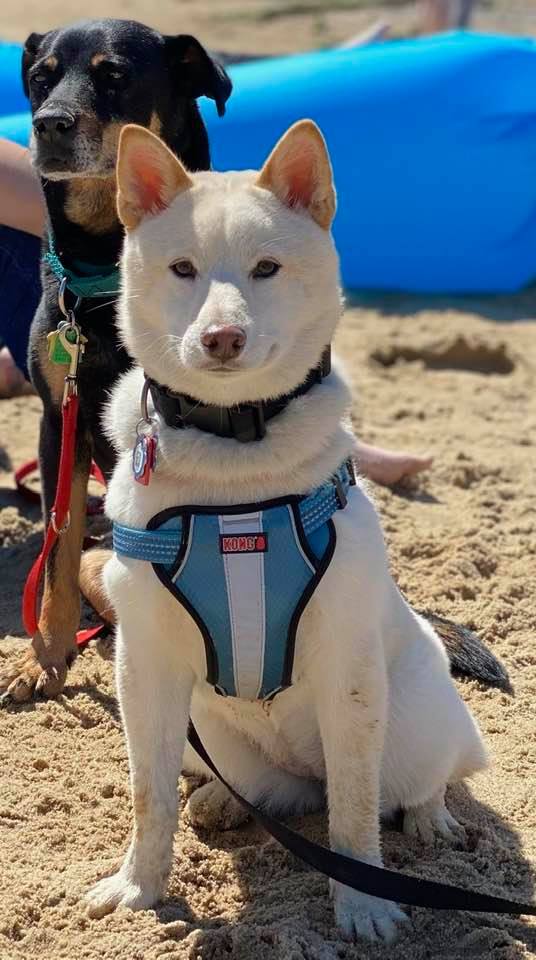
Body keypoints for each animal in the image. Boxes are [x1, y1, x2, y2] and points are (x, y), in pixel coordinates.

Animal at [0, 18, 230, 700]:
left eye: (115, 75)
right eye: (40, 76)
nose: (48, 123)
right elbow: (59, 547)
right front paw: (45, 658)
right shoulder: (60, 420)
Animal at [85, 118, 490, 936]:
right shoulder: (145, 664)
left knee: (412, 780)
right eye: (182, 269)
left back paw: (431, 819)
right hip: (209, 727)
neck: (236, 461)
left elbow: (357, 817)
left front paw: (364, 904)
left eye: (267, 268)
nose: (222, 339)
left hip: (418, 713)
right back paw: (221, 798)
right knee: (286, 792)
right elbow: (148, 795)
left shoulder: (346, 669)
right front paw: (140, 887)